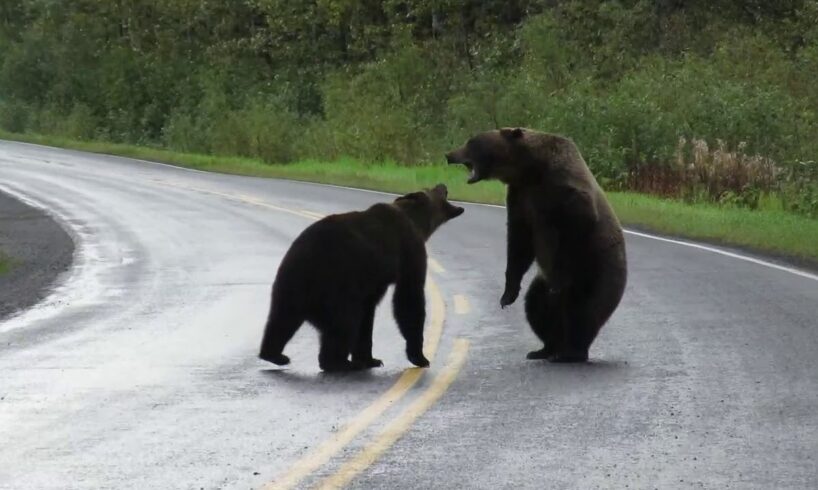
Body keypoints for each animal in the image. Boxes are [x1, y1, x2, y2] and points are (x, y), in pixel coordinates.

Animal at [258, 184, 462, 372]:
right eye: (433, 189)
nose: (443, 184)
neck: (417, 222)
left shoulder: (371, 284)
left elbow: (368, 315)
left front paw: (370, 359)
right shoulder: (409, 251)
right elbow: (409, 299)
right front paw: (420, 357)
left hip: (291, 284)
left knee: (282, 319)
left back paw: (275, 355)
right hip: (333, 285)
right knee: (345, 322)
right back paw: (339, 363)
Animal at [446, 128, 624, 362]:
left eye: (471, 142)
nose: (449, 155)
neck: (529, 169)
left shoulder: (563, 190)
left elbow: (577, 223)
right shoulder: (521, 197)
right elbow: (519, 241)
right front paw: (507, 295)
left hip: (595, 274)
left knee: (580, 309)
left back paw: (571, 352)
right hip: (543, 282)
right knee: (537, 305)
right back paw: (545, 349)